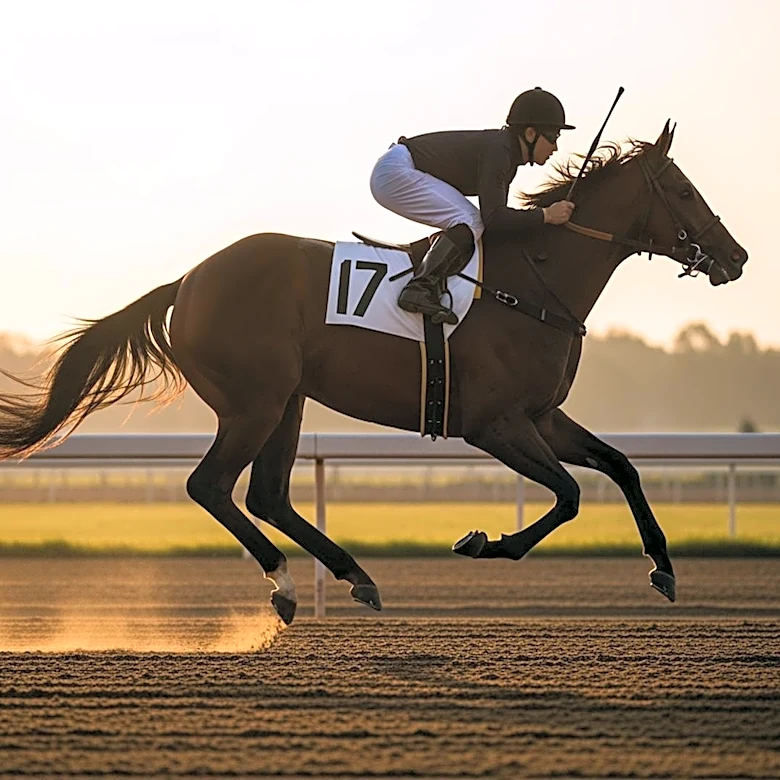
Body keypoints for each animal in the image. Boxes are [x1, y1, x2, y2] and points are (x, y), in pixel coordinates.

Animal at [0, 122, 747, 625]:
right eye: (684, 190)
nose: (737, 257)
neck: (535, 279)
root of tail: (186, 282)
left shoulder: (541, 416)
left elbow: (620, 466)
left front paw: (664, 569)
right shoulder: (492, 424)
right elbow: (567, 495)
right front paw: (483, 543)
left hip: (288, 401)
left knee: (267, 494)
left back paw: (352, 574)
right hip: (254, 402)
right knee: (210, 485)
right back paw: (286, 584)